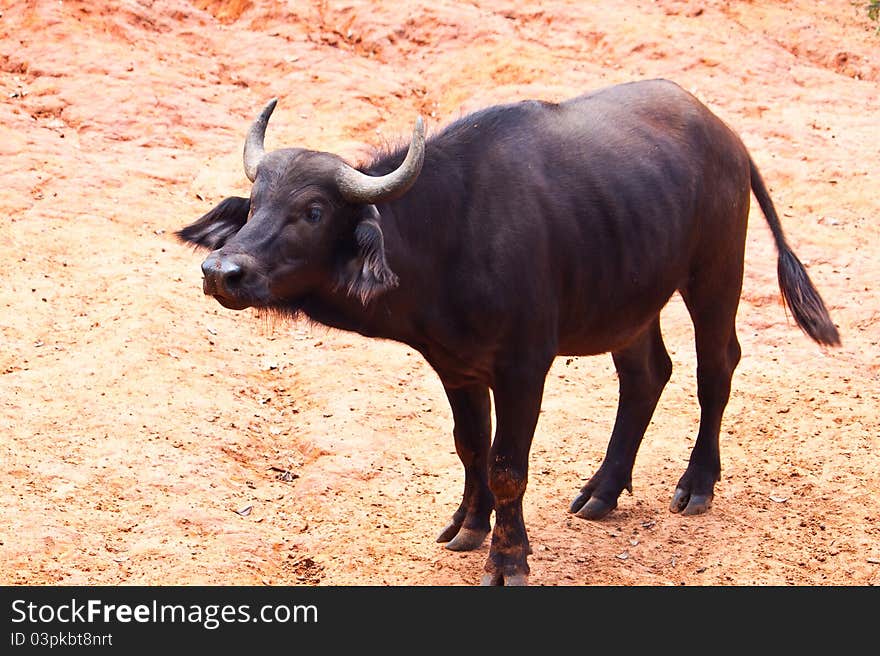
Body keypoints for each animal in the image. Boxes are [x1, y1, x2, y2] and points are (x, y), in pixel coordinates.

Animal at [177, 79, 840, 588]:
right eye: (254, 203)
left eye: (313, 211)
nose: (221, 272)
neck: (449, 236)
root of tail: (727, 138)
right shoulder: (455, 365)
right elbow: (471, 445)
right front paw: (469, 526)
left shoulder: (525, 368)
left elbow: (506, 466)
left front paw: (509, 557)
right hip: (628, 301)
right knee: (647, 375)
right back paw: (602, 490)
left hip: (716, 273)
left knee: (715, 368)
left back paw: (696, 484)